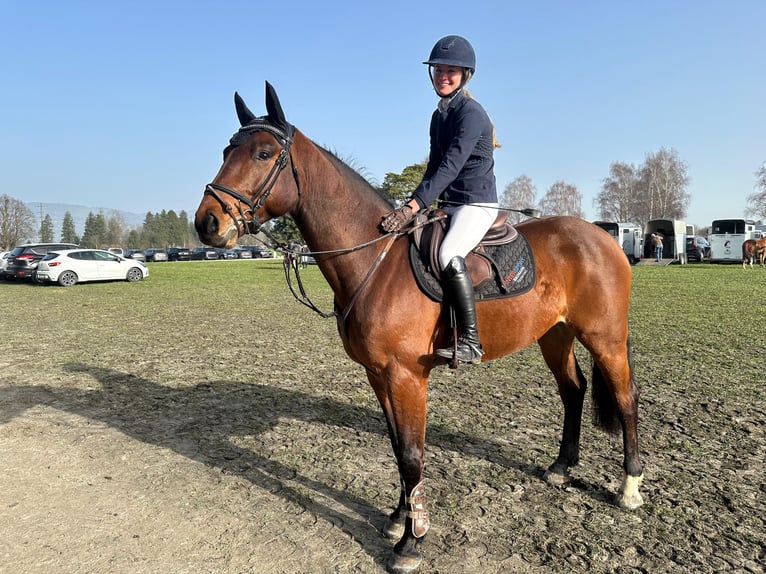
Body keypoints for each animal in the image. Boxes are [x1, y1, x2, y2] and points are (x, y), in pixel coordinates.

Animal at [194, 82, 644, 572]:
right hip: (554, 335)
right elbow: (397, 447)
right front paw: (398, 519)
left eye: (262, 153)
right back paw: (562, 468)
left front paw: (411, 543)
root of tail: (601, 236)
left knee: (625, 398)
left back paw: (629, 489)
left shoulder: (406, 376)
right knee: (573, 390)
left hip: (605, 338)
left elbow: (412, 454)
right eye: (226, 150)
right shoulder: (378, 374)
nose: (207, 223)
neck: (375, 259)